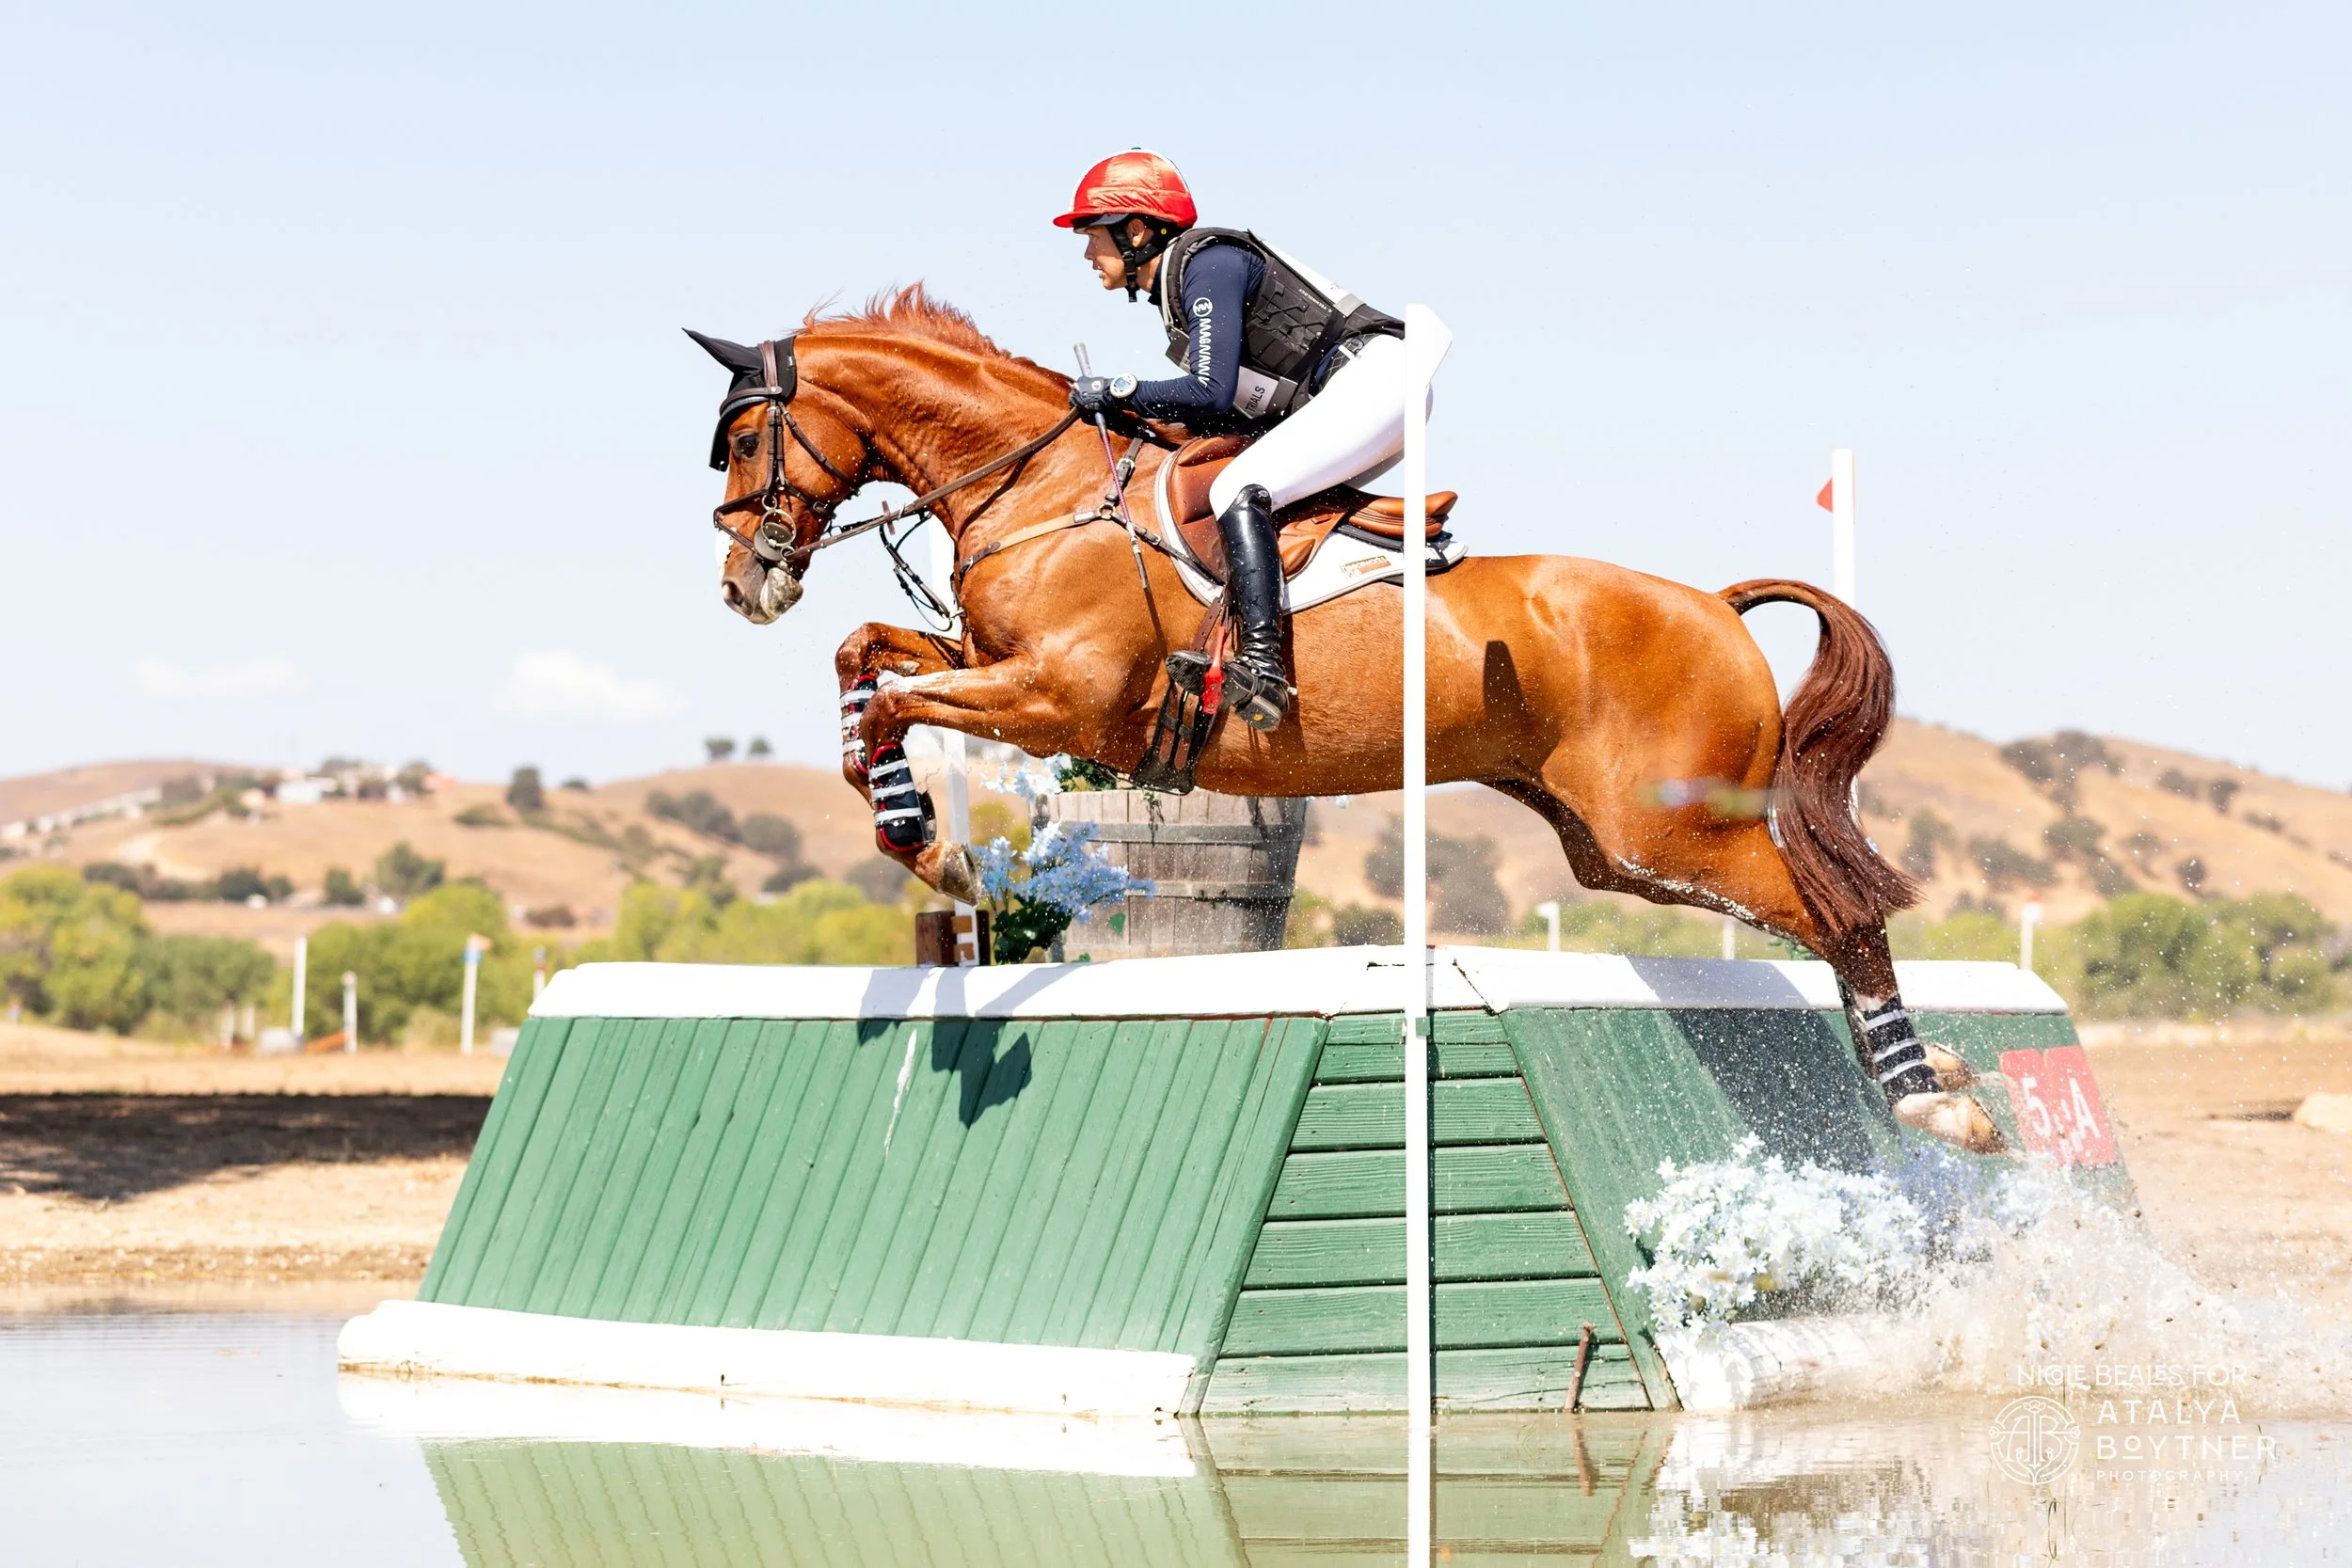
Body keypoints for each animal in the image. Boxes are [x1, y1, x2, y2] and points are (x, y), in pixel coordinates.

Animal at [689, 287, 2001, 1154]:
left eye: (746, 437)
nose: (743, 585)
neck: (1040, 487)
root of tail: (1714, 604)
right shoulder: (998, 664)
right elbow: (868, 658)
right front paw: (921, 830)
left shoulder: (1062, 696)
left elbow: (891, 696)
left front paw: (935, 848)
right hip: (1621, 847)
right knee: (1818, 910)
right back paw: (1929, 1067)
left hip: (1666, 830)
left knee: (1841, 912)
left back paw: (1932, 1095)